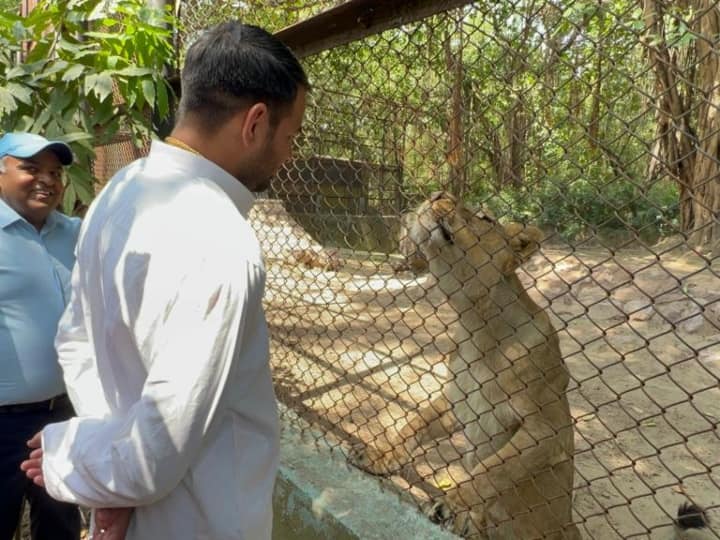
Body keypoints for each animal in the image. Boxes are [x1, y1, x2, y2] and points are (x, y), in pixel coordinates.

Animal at [352, 192, 584, 536]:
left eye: (485, 218)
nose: (438, 195)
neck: (477, 325)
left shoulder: (548, 430)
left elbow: (494, 470)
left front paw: (452, 504)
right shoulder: (457, 402)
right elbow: (414, 423)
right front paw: (379, 455)